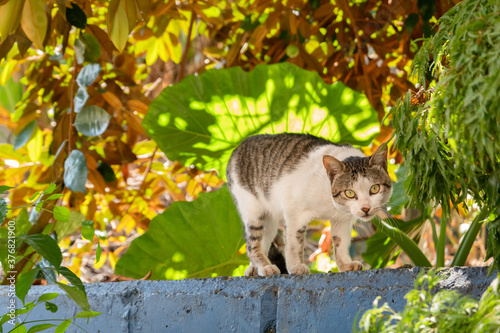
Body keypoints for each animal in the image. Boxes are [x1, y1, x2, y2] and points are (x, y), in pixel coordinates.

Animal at [225, 132, 392, 274]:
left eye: (375, 188)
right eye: (350, 193)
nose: (366, 208)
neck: (330, 201)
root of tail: (238, 147)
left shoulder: (342, 219)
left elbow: (341, 243)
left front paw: (345, 264)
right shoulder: (293, 211)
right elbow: (294, 244)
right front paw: (295, 267)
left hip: (269, 221)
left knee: (264, 240)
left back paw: (254, 269)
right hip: (252, 209)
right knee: (252, 245)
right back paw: (265, 267)